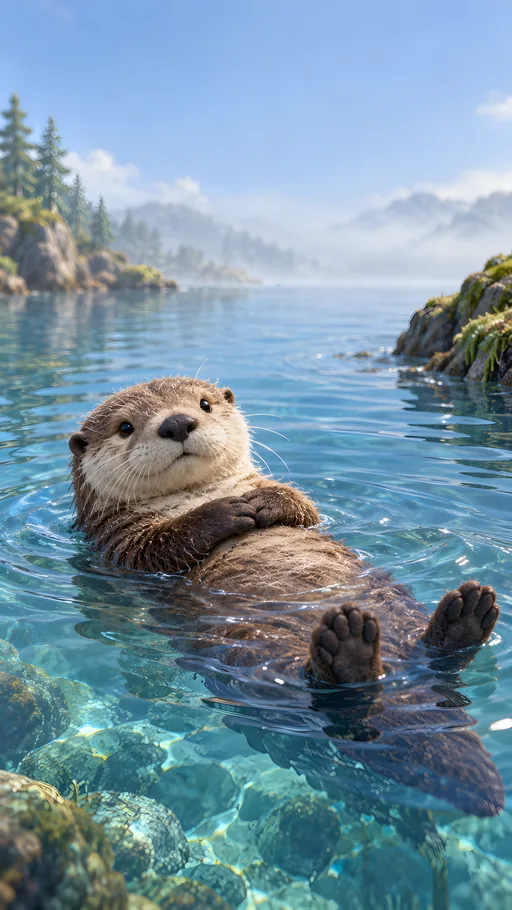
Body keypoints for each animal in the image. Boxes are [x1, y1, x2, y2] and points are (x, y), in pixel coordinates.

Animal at [69, 376, 504, 816]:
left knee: (440, 662)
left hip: (404, 610)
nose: (176, 423)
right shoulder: (120, 541)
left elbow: (303, 507)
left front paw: (262, 504)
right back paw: (350, 653)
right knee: (317, 688)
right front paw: (225, 511)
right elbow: (165, 541)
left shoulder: (279, 493)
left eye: (204, 404)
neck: (198, 494)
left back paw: (463, 618)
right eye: (125, 427)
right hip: (256, 657)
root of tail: (397, 674)